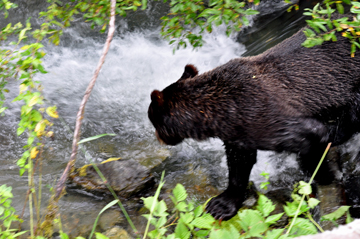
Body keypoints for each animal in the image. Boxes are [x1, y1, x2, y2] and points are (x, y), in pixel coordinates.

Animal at [148, 22, 360, 220]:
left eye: (152, 120)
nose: (159, 138)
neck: (219, 114)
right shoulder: (238, 134)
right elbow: (239, 165)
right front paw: (220, 205)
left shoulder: (264, 115)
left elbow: (312, 138)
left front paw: (322, 176)